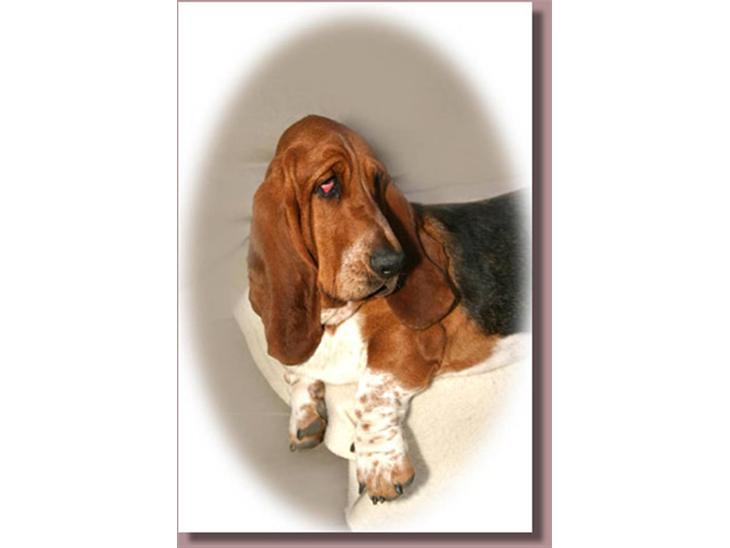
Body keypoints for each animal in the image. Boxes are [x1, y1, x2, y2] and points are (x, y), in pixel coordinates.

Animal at [248, 115, 527, 504]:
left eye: (377, 183)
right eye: (327, 185)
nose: (394, 264)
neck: (337, 316)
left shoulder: (411, 342)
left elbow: (371, 392)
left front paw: (380, 466)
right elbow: (295, 369)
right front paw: (305, 415)